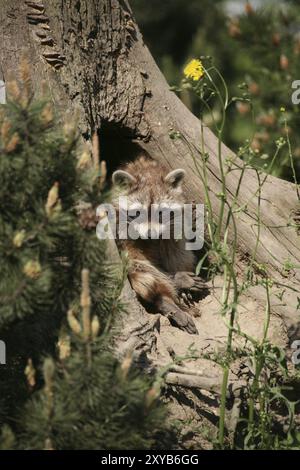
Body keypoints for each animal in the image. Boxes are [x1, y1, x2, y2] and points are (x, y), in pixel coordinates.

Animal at [111, 157, 205, 334]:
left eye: (161, 213)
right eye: (137, 213)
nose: (150, 234)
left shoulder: (174, 222)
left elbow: (176, 241)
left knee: (176, 250)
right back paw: (168, 293)